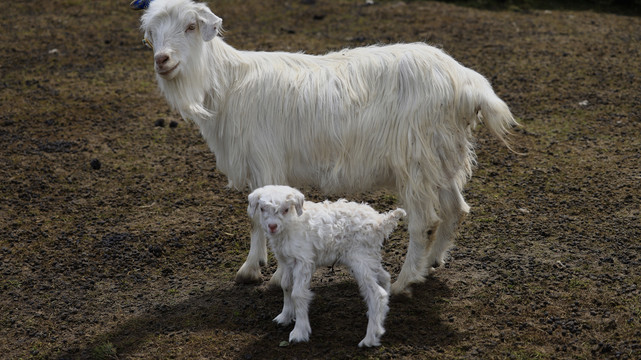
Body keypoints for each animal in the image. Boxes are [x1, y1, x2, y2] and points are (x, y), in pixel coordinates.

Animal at [139, 0, 516, 296]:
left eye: (190, 26)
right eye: (151, 35)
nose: (163, 60)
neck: (229, 84)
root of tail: (468, 83)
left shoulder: (266, 160)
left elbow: (264, 220)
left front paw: (271, 275)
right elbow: (257, 219)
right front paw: (252, 268)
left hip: (415, 158)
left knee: (424, 220)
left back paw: (404, 280)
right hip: (442, 154)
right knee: (455, 208)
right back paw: (432, 262)